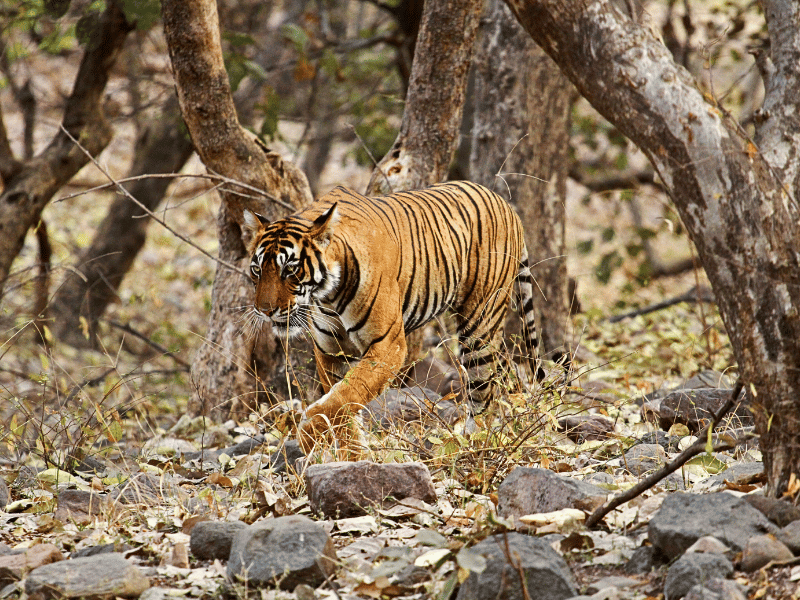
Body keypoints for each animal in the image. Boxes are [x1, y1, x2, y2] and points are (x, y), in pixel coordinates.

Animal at [242, 180, 544, 458]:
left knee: (483, 393)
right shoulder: (331, 353)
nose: (264, 310)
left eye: (290, 270)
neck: (327, 296)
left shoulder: (389, 345)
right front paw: (353, 458)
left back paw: (474, 446)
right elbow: (343, 404)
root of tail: (505, 203)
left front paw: (309, 433)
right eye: (257, 270)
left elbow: (345, 395)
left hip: (480, 324)